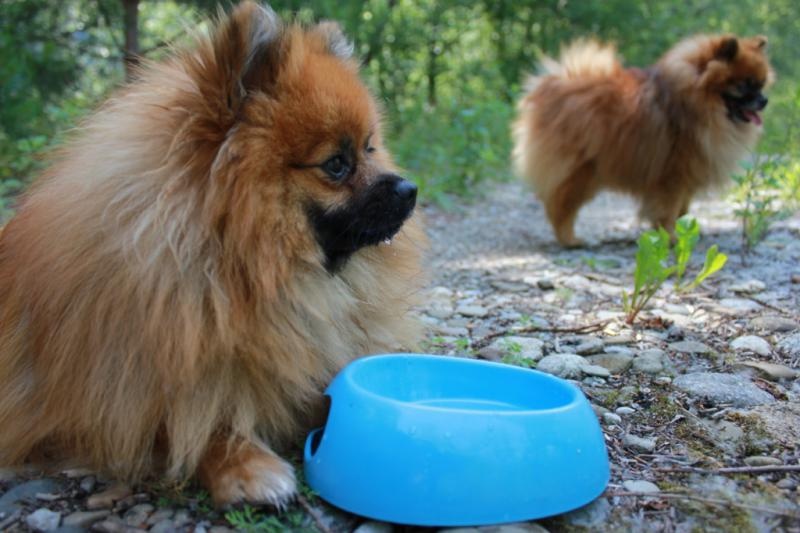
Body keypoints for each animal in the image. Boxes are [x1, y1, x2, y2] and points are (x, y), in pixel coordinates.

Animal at [0, 1, 424, 508]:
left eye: (370, 147)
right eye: (336, 165)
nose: (409, 189)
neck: (241, 275)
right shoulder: (104, 402)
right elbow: (184, 422)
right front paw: (243, 464)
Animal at [516, 34, 772, 246]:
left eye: (761, 84)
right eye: (744, 85)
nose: (764, 100)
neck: (697, 102)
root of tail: (554, 85)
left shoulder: (687, 176)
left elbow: (681, 210)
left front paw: (679, 233)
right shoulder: (672, 176)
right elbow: (667, 212)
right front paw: (670, 238)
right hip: (582, 172)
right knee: (560, 206)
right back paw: (570, 240)